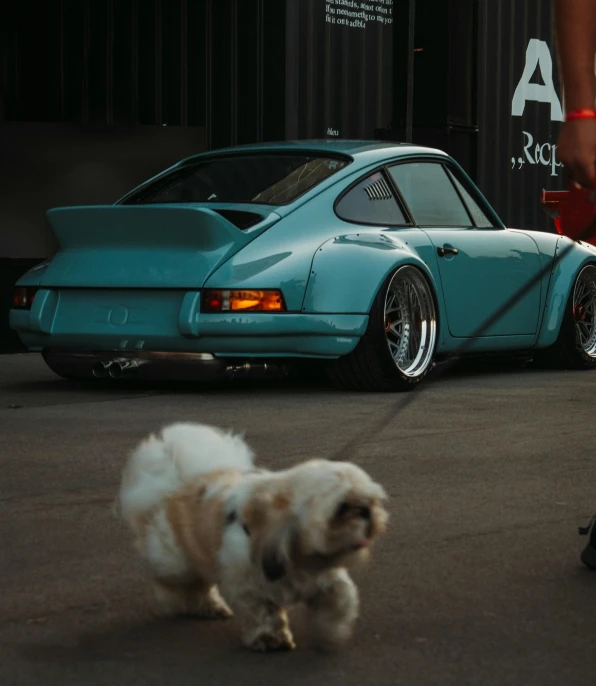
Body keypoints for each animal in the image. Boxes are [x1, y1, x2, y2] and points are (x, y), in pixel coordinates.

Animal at [118, 422, 388, 652]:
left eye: (372, 502)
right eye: (342, 508)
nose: (366, 512)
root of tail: (177, 484)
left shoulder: (323, 580)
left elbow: (340, 599)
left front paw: (331, 631)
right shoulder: (249, 588)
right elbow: (263, 614)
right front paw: (269, 639)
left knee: (198, 588)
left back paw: (210, 607)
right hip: (176, 562)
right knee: (175, 582)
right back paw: (172, 602)